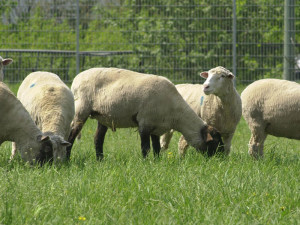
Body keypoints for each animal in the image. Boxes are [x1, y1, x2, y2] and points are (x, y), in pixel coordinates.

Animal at [67, 67, 224, 160]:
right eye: (215, 141)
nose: (222, 158)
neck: (176, 114)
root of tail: (76, 78)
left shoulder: (156, 127)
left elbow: (156, 148)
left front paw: (157, 162)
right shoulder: (144, 123)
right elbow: (145, 148)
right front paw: (146, 163)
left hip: (104, 116)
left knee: (97, 139)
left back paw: (100, 160)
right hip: (81, 109)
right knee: (72, 135)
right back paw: (67, 158)